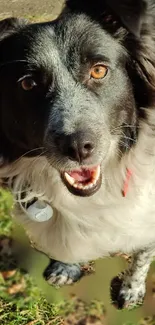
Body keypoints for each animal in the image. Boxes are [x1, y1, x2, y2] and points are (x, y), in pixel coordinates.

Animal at [0, 0, 155, 308]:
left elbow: (143, 254)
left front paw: (132, 289)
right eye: (28, 84)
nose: (77, 146)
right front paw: (66, 266)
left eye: (98, 71)